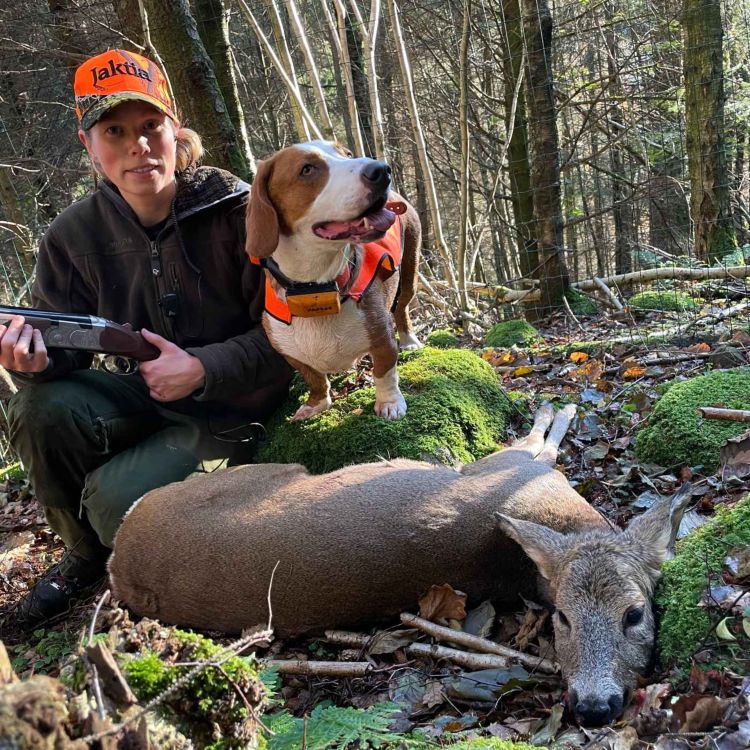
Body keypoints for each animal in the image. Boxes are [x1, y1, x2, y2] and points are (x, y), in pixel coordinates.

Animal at [247, 142, 424, 424]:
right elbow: (315, 379)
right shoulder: (289, 352)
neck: (316, 291)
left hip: (410, 272)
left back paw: (409, 341)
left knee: (402, 308)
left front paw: (389, 402)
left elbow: (384, 372)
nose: (381, 170)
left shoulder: (382, 337)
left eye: (347, 154)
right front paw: (316, 404)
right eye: (307, 169)